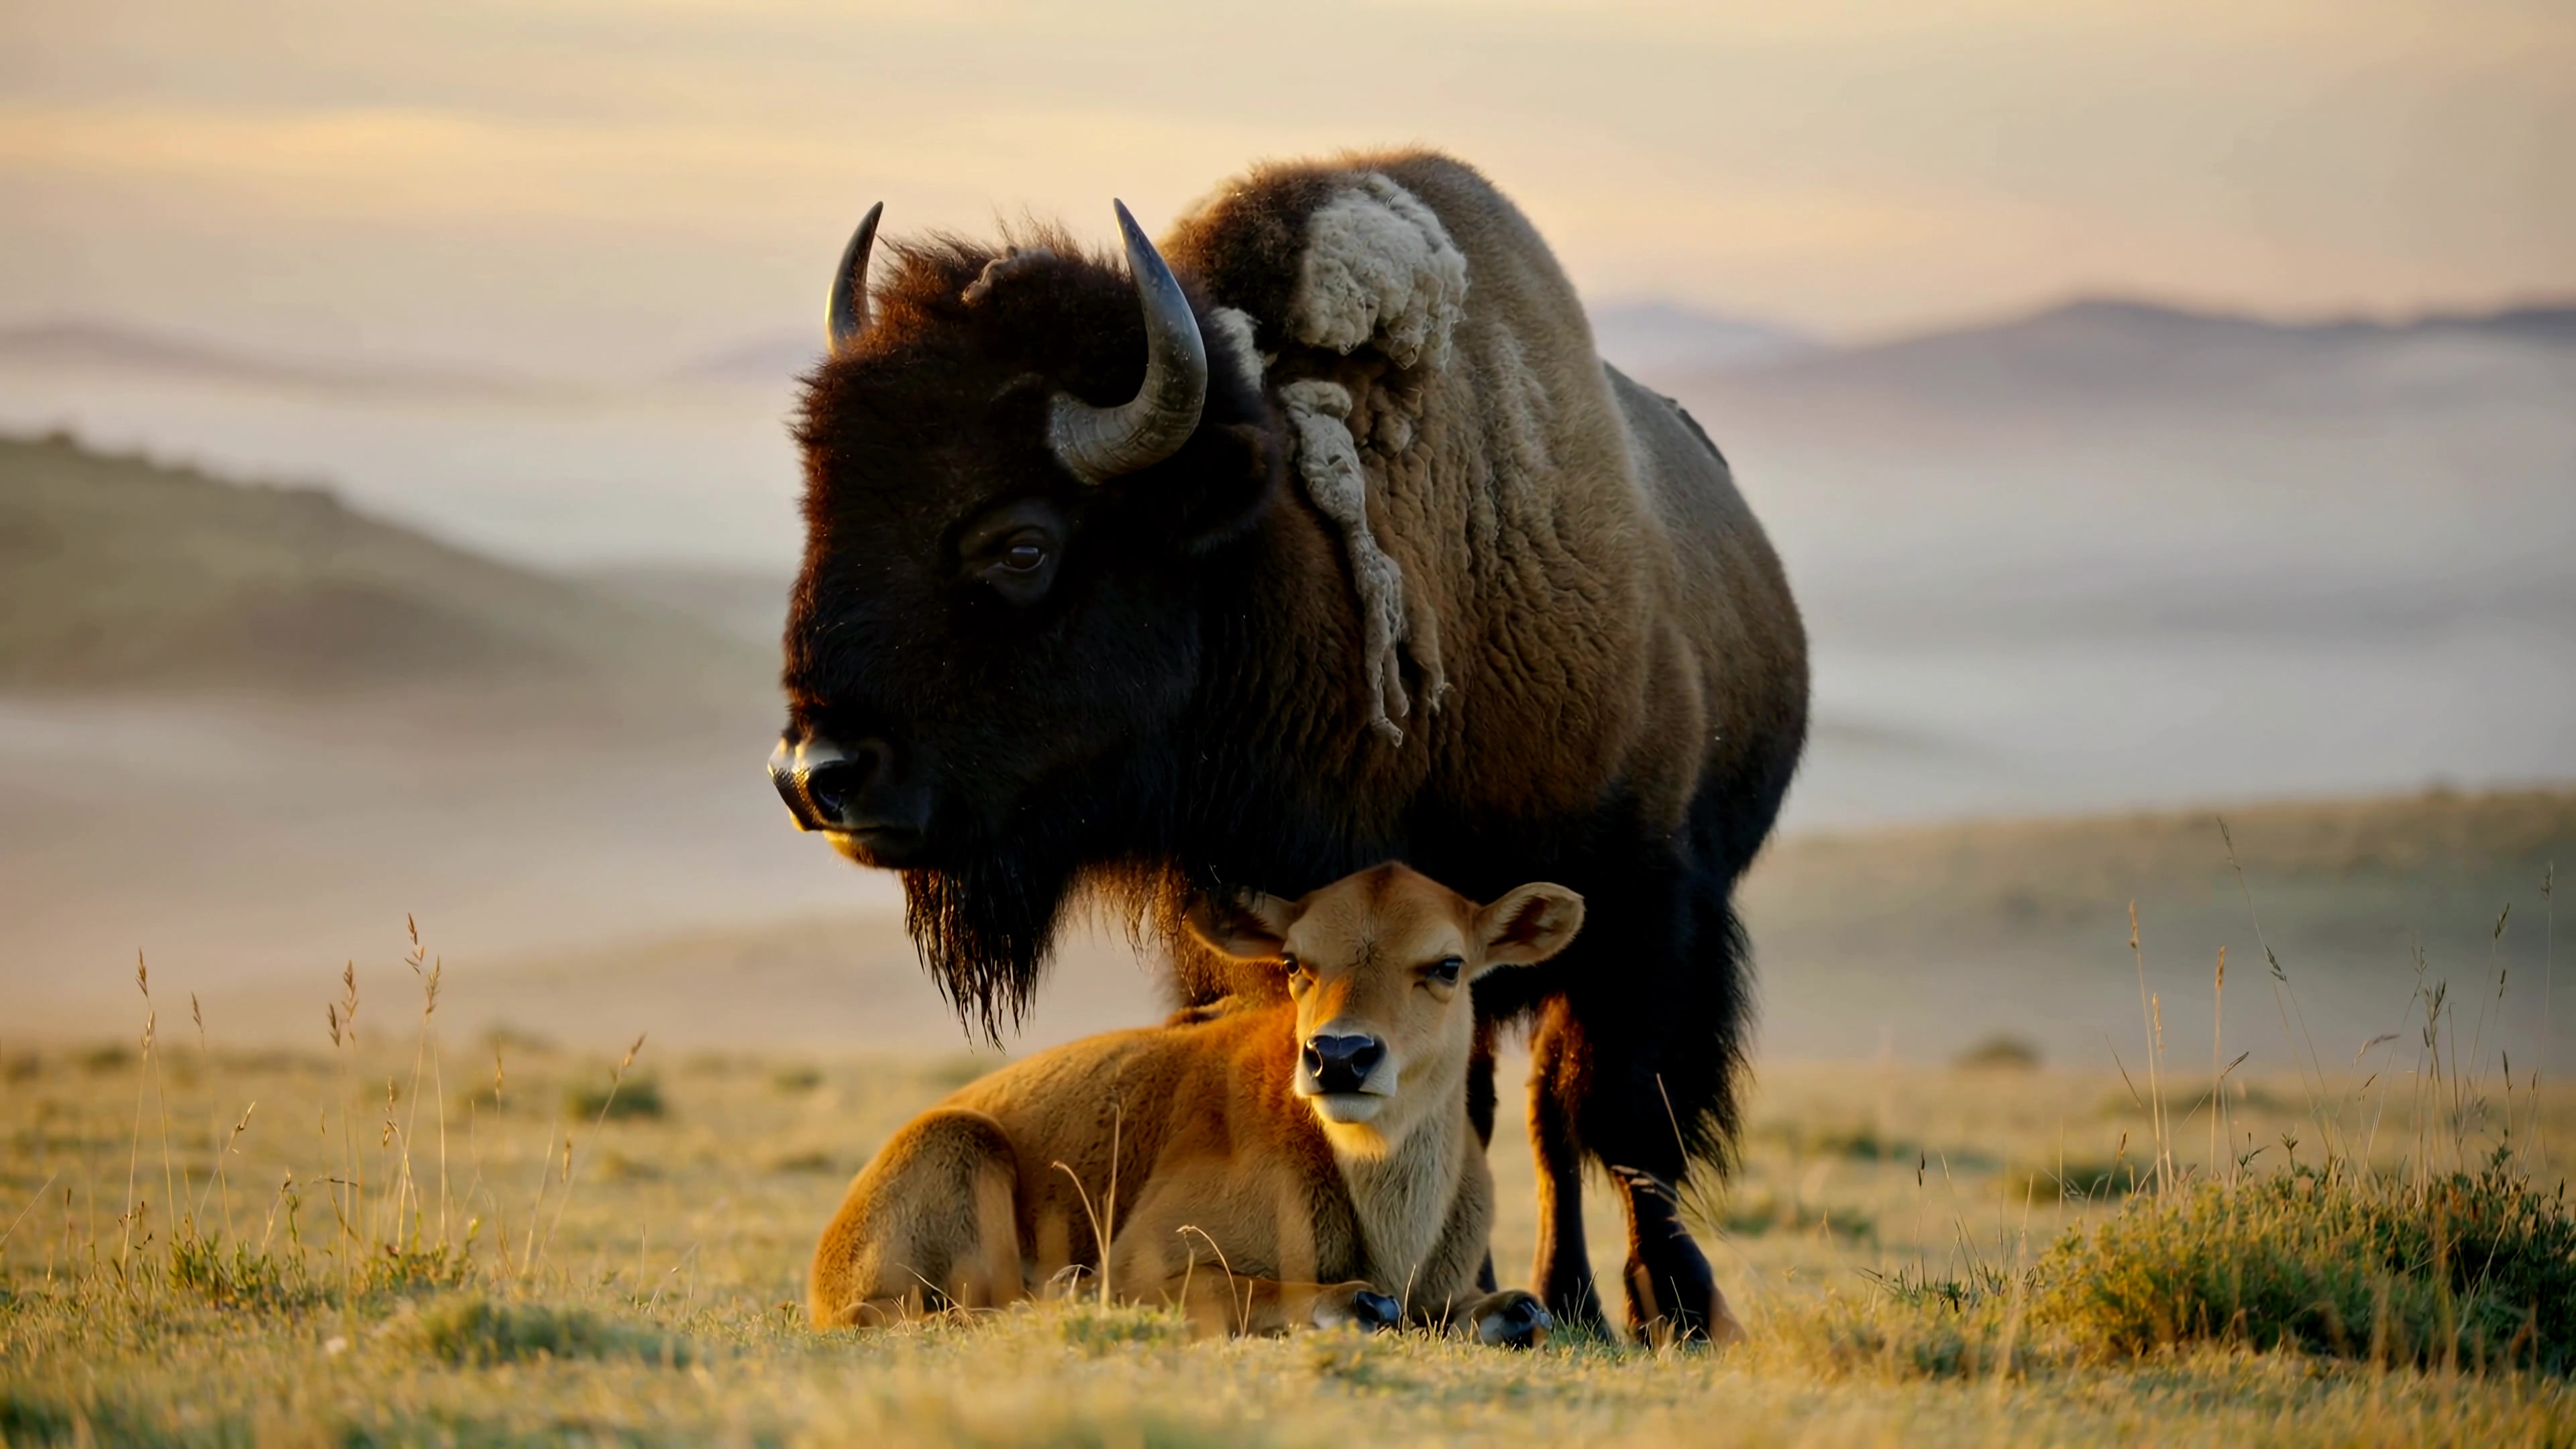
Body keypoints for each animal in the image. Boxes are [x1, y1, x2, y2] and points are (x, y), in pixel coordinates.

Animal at [809, 862, 1574, 1346]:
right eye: (1294, 963)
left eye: (1448, 965)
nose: (1340, 1057)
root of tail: (827, 1264)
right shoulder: (1145, 1266)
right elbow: (1280, 1293)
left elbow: (1507, 1309)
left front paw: (1506, 1314)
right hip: (959, 1149)